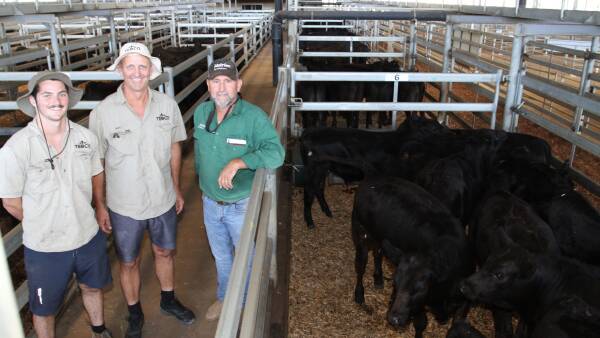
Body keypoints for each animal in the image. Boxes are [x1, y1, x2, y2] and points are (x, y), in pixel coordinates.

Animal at [352, 177, 474, 338]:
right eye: (395, 282)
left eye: (421, 288)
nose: (394, 319)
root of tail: (371, 181)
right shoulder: (419, 307)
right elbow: (421, 324)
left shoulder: (464, 299)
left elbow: (458, 324)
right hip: (360, 234)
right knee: (360, 266)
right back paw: (359, 295)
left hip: (380, 239)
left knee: (378, 252)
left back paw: (378, 279)